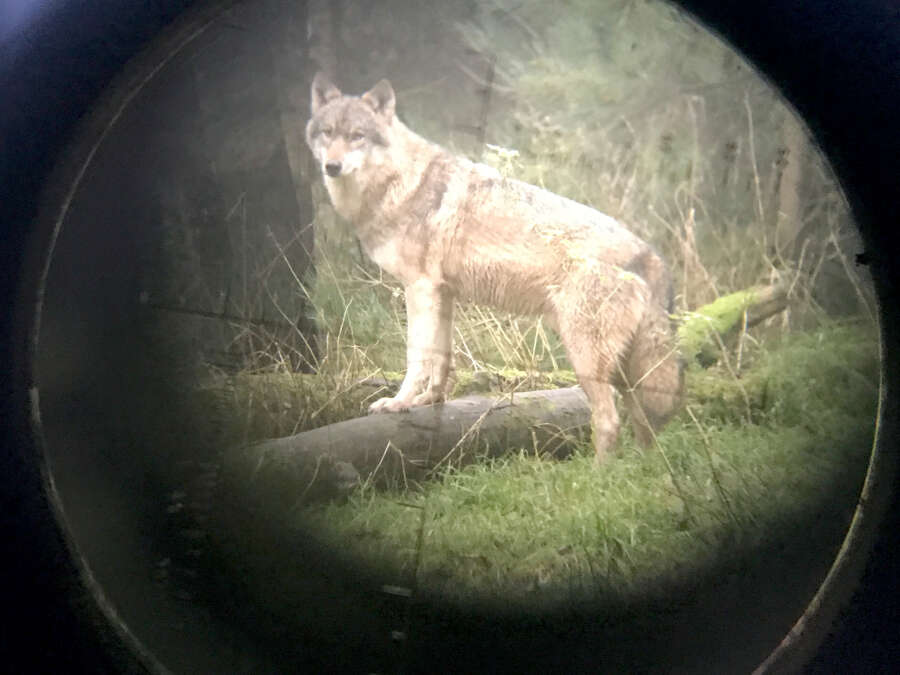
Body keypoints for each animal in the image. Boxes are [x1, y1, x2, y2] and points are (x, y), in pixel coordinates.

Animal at [305, 72, 683, 460]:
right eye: (328, 133)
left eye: (357, 136)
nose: (331, 167)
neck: (399, 183)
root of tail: (650, 255)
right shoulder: (443, 293)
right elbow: (442, 358)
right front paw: (430, 400)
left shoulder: (419, 288)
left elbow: (417, 357)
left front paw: (399, 403)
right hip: (624, 372)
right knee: (645, 426)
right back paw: (642, 468)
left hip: (586, 360)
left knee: (610, 422)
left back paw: (598, 473)